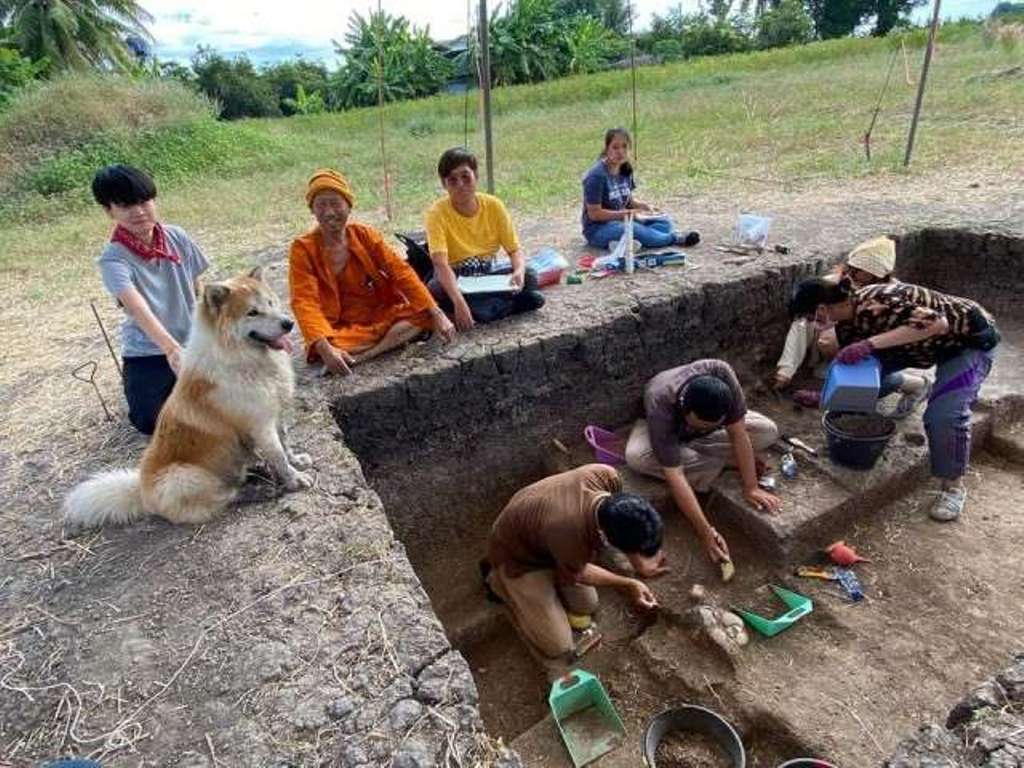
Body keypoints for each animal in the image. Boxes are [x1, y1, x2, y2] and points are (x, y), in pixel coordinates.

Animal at [65, 268, 311, 532]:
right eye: (252, 312)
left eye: (271, 303)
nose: (288, 323)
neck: (240, 358)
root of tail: (141, 490)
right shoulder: (261, 425)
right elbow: (278, 455)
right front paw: (294, 478)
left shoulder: (276, 415)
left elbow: (285, 443)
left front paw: (297, 460)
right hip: (183, 477)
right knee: (224, 495)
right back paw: (258, 490)